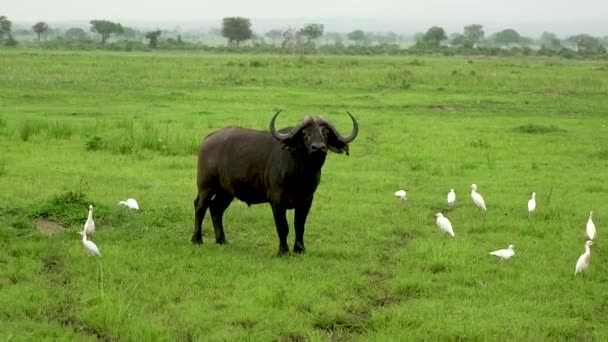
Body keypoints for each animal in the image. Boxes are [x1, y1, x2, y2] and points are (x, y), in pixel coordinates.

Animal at [192, 109, 358, 254]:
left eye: (326, 133)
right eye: (305, 133)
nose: (318, 147)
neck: (300, 173)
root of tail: (208, 139)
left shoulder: (306, 200)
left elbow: (299, 226)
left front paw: (300, 250)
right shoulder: (276, 201)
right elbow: (283, 227)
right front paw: (283, 251)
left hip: (226, 191)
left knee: (216, 208)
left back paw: (222, 240)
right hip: (206, 187)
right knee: (200, 207)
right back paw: (197, 240)